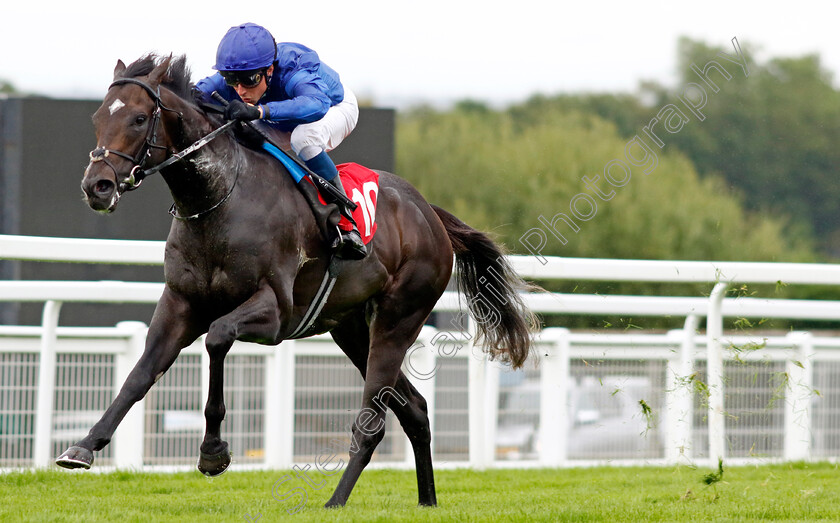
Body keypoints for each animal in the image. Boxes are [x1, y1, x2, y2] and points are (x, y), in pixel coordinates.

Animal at [59, 55, 536, 510]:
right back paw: (427, 499)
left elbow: (217, 337)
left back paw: (335, 500)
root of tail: (429, 214)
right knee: (415, 410)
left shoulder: (274, 313)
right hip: (351, 329)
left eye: (140, 118)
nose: (97, 186)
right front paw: (84, 447)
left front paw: (213, 452)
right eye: (99, 116)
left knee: (373, 423)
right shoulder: (180, 303)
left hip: (399, 318)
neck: (221, 199)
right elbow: (140, 374)